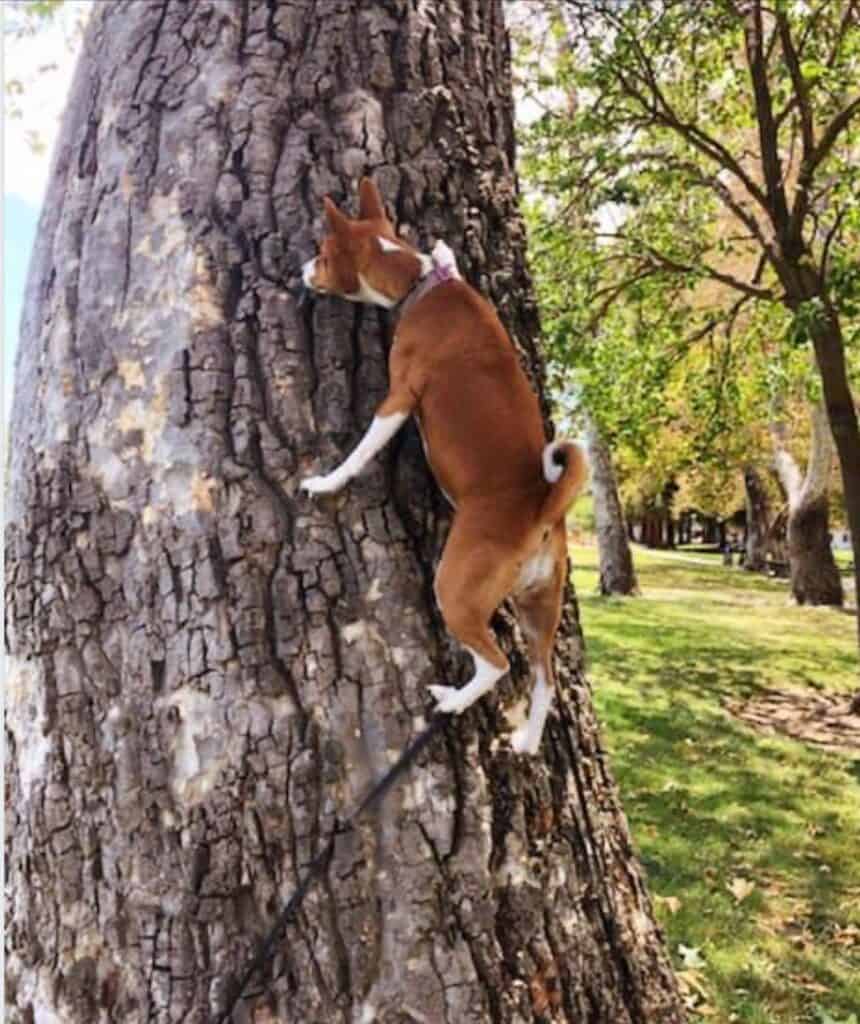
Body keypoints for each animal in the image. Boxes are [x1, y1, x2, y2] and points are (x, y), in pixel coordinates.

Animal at [298, 178, 589, 753]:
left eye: (321, 254)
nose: (301, 269)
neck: (421, 285)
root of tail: (543, 509)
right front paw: (444, 248)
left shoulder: (399, 396)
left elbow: (361, 451)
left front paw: (327, 481)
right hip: (539, 607)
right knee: (543, 676)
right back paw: (526, 741)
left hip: (454, 589)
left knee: (498, 664)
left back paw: (452, 701)